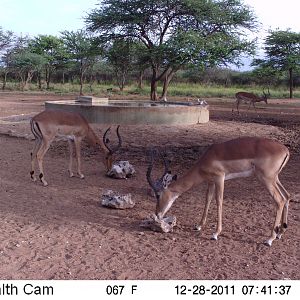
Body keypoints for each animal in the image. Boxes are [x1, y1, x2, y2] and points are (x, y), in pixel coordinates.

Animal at [148, 137, 290, 246]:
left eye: (157, 195)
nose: (158, 214)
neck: (207, 158)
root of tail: (285, 150)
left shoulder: (219, 178)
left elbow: (219, 201)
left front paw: (215, 233)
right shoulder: (210, 182)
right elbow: (208, 200)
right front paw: (198, 226)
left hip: (267, 179)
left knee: (279, 200)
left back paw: (269, 239)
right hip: (275, 178)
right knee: (287, 196)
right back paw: (280, 233)